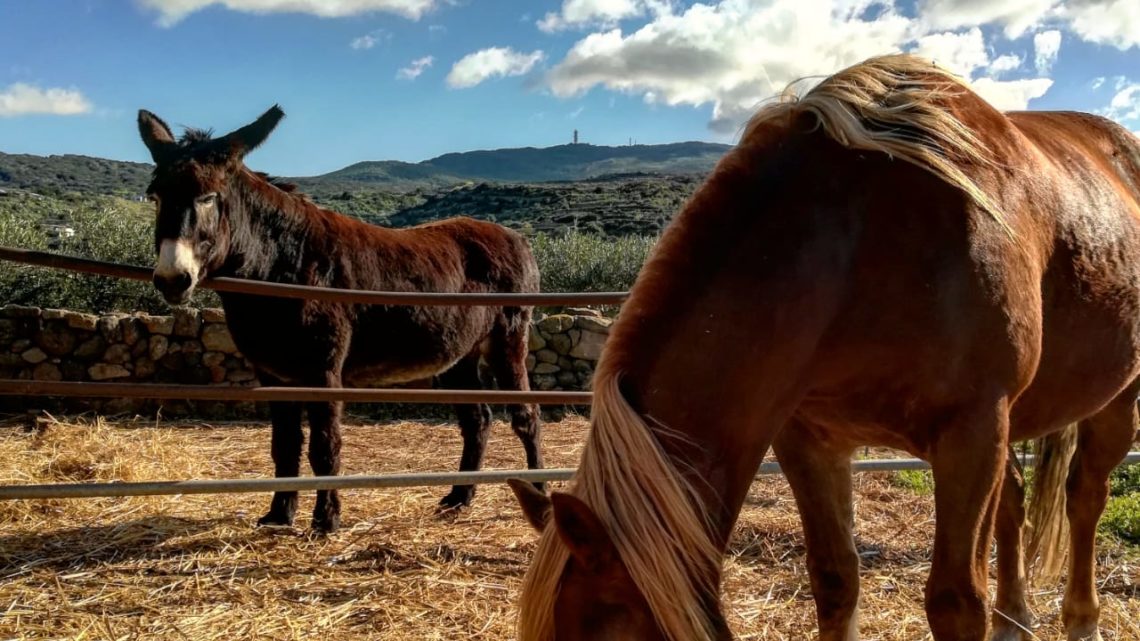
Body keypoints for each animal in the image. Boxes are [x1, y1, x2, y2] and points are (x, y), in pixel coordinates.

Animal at [133, 106, 542, 533]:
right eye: (155, 197)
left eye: (209, 198)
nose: (171, 279)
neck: (280, 265)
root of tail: (515, 237)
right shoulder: (274, 374)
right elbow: (285, 446)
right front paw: (279, 515)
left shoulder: (323, 369)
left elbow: (324, 445)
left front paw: (326, 519)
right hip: (459, 355)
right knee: (478, 420)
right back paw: (459, 497)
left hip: (508, 338)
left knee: (526, 415)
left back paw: (541, 492)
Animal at [510, 54, 1140, 638]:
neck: (856, 248)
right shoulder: (810, 439)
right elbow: (835, 578)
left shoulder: (972, 433)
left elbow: (956, 603)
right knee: (1013, 502)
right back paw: (1016, 619)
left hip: (1112, 402)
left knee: (1085, 496)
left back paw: (1082, 618)